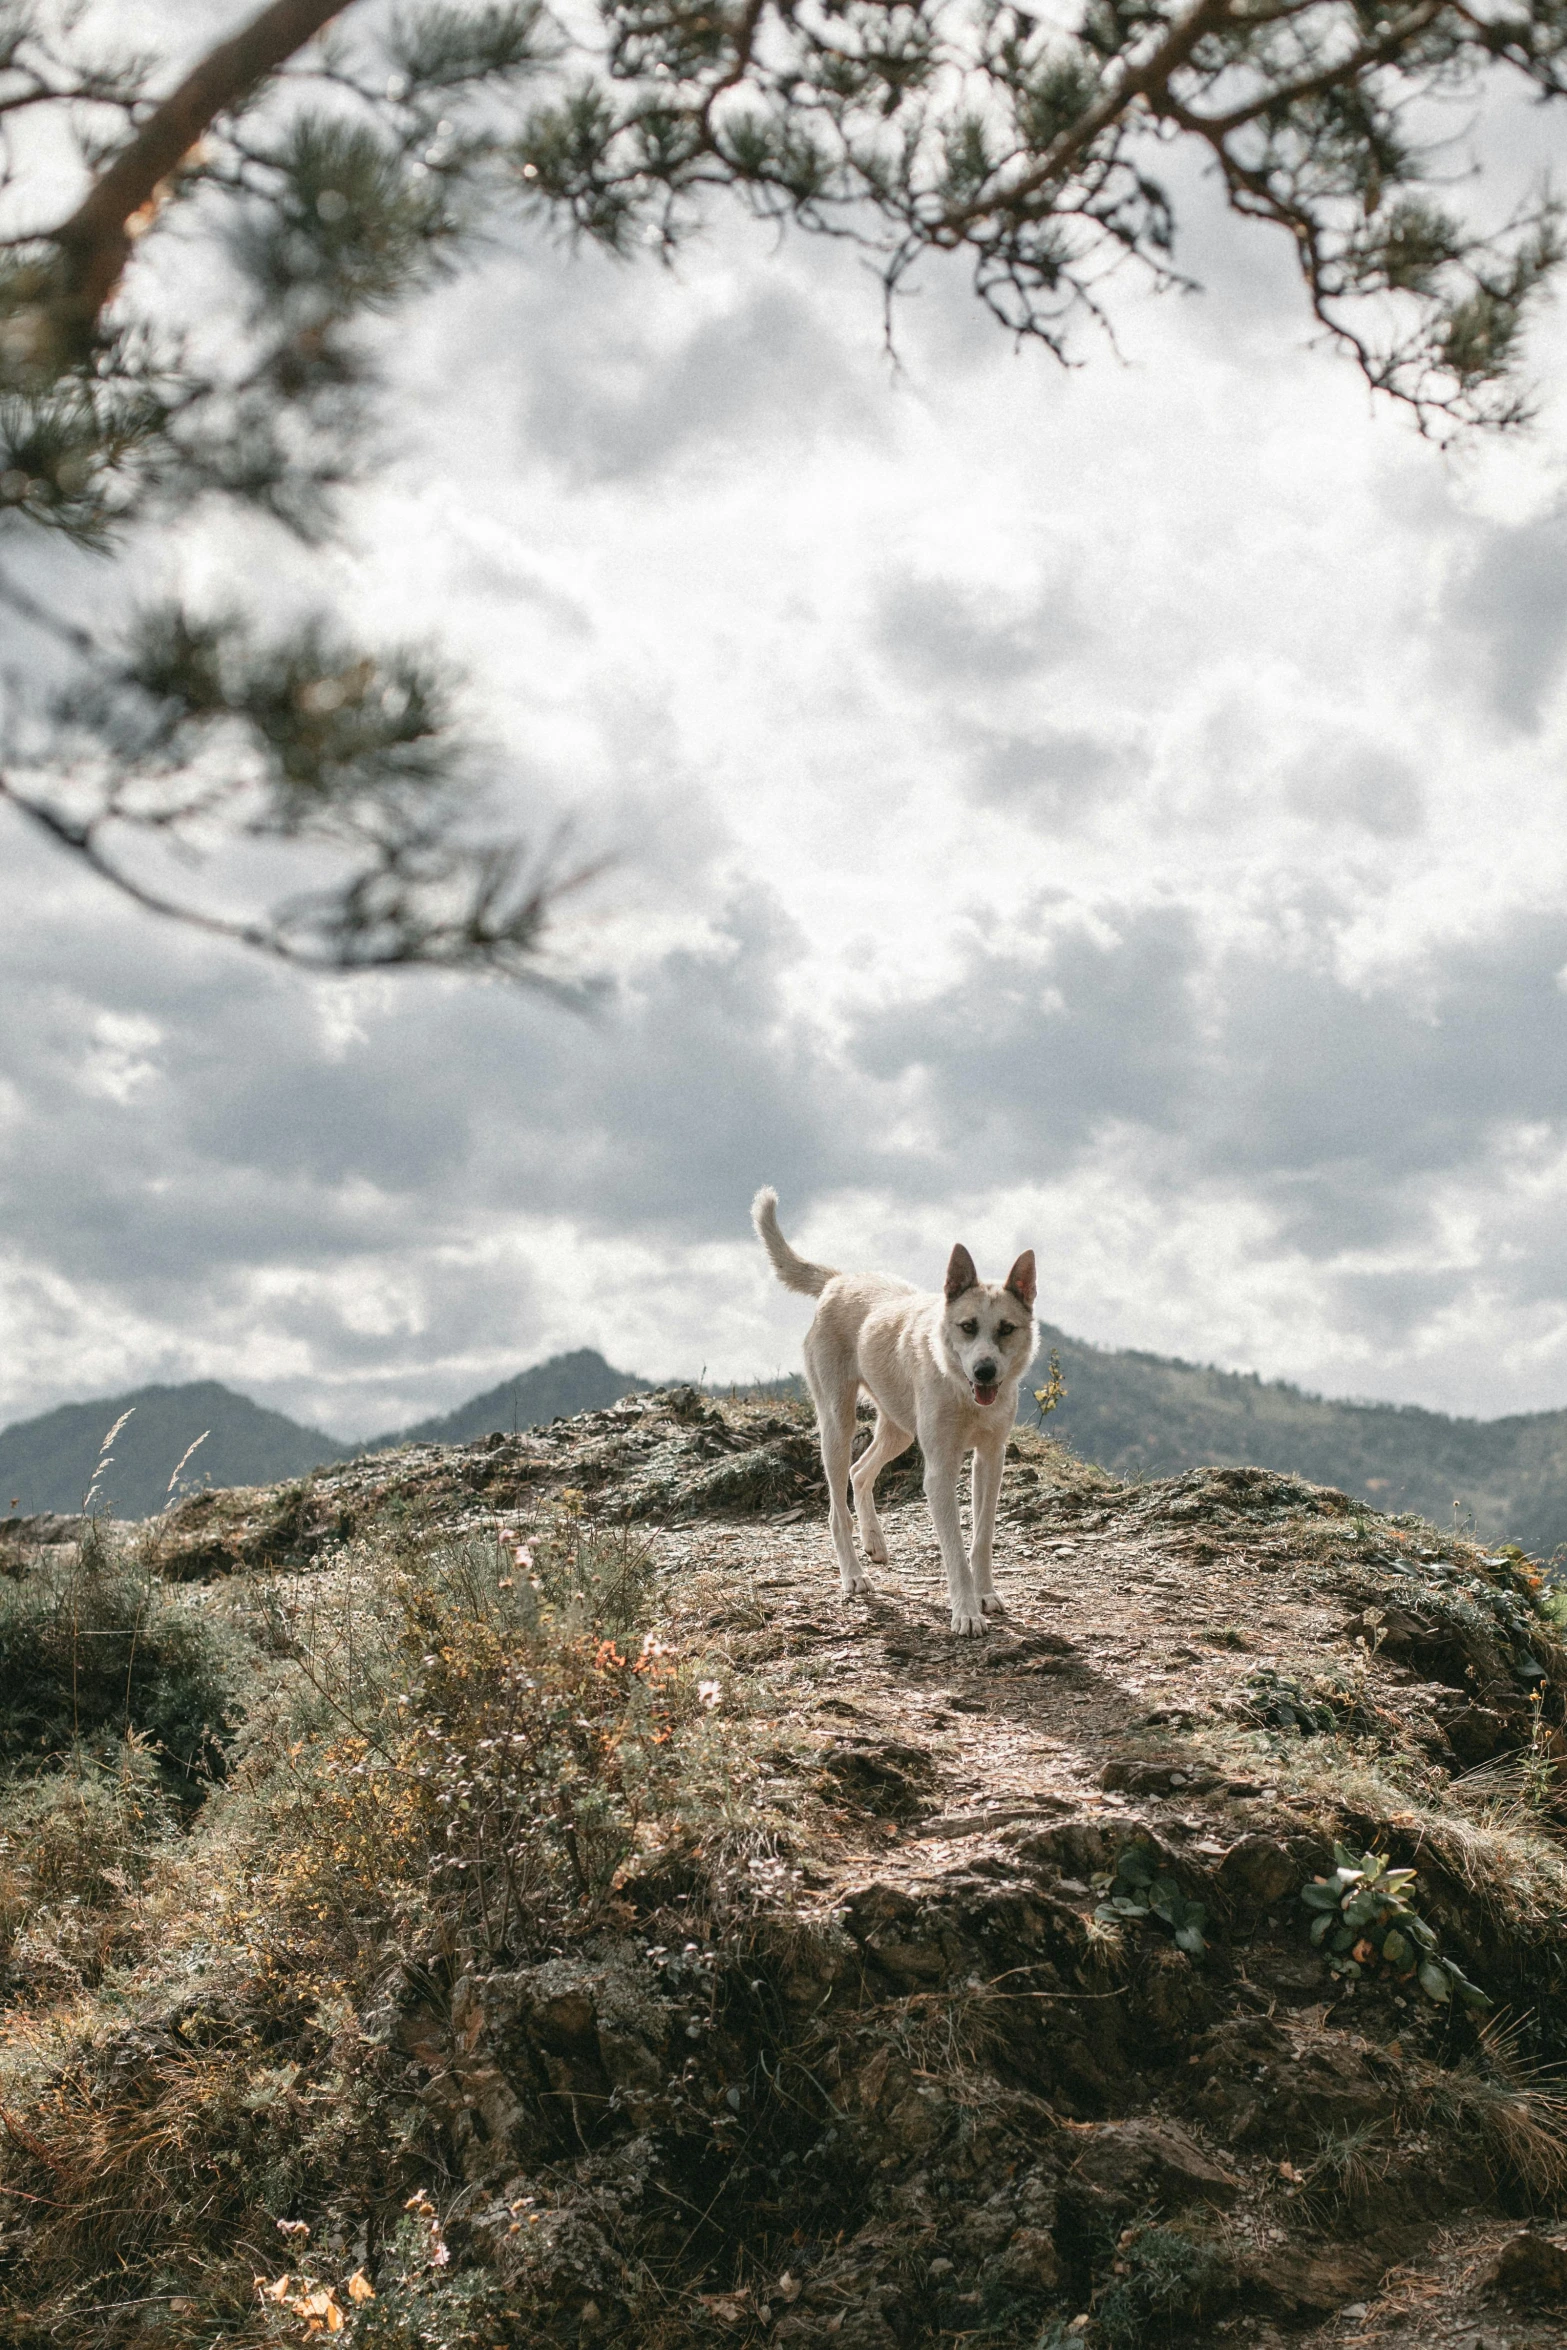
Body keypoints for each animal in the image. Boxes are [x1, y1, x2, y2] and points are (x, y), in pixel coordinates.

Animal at [751, 1193, 1033, 1635]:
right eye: (967, 1326)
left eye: (1006, 1328)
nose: (985, 1371)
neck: (960, 1388)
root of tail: (840, 1280)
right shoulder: (939, 1471)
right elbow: (954, 1548)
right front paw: (966, 1611)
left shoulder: (991, 1459)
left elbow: (982, 1536)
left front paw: (985, 1594)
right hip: (838, 1425)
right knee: (837, 1509)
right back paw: (853, 1574)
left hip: (900, 1430)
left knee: (860, 1471)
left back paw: (875, 1541)